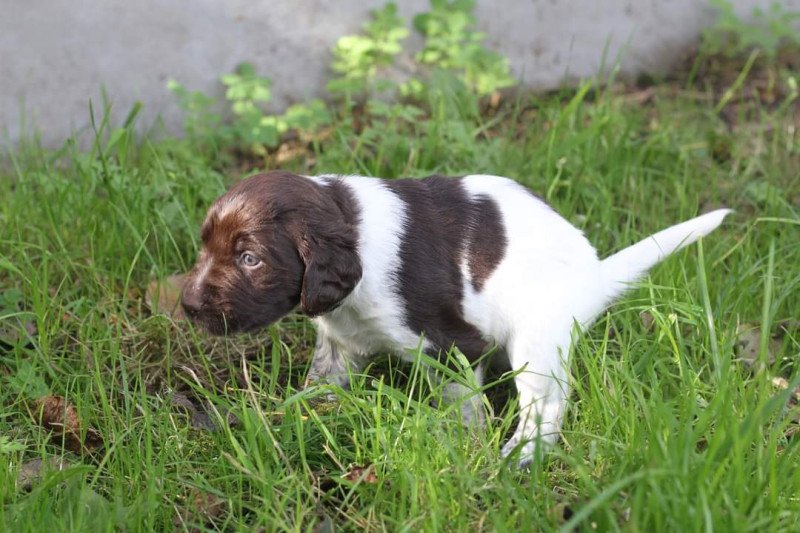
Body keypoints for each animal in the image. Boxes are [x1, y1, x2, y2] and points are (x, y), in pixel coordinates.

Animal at [183, 169, 732, 466]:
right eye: (205, 247)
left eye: (250, 259)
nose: (188, 306)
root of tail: (594, 277)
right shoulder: (339, 346)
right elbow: (317, 389)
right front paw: (281, 421)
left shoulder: (452, 343)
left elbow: (461, 408)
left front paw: (461, 452)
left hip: (535, 340)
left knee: (547, 405)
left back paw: (521, 457)